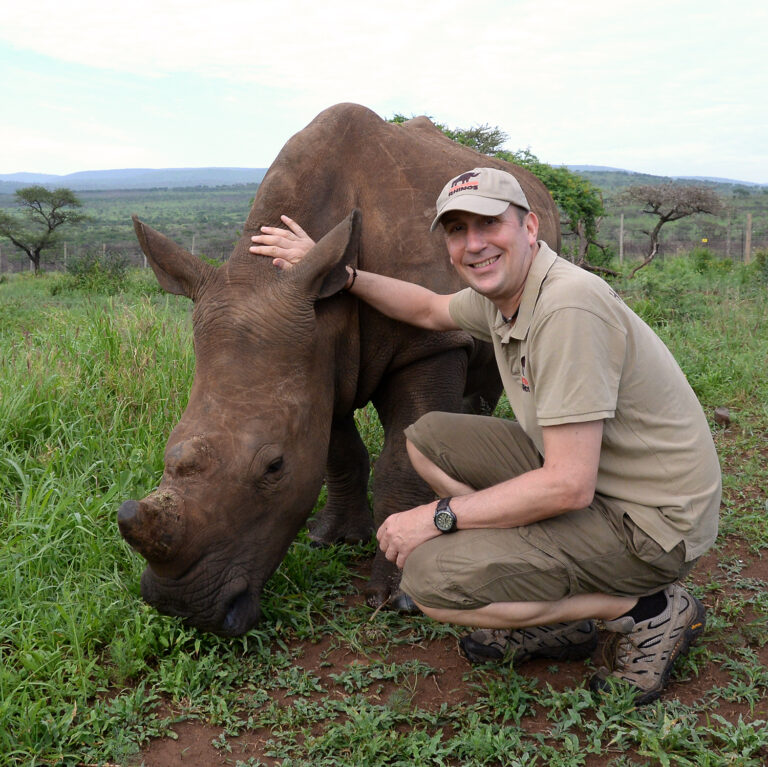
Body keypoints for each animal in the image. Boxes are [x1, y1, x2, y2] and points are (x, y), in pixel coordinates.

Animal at [117, 103, 561, 636]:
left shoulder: (428, 345)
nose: (183, 608)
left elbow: (402, 458)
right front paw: (335, 538)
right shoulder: (315, 357)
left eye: (274, 467)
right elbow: (338, 452)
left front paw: (398, 595)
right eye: (170, 450)